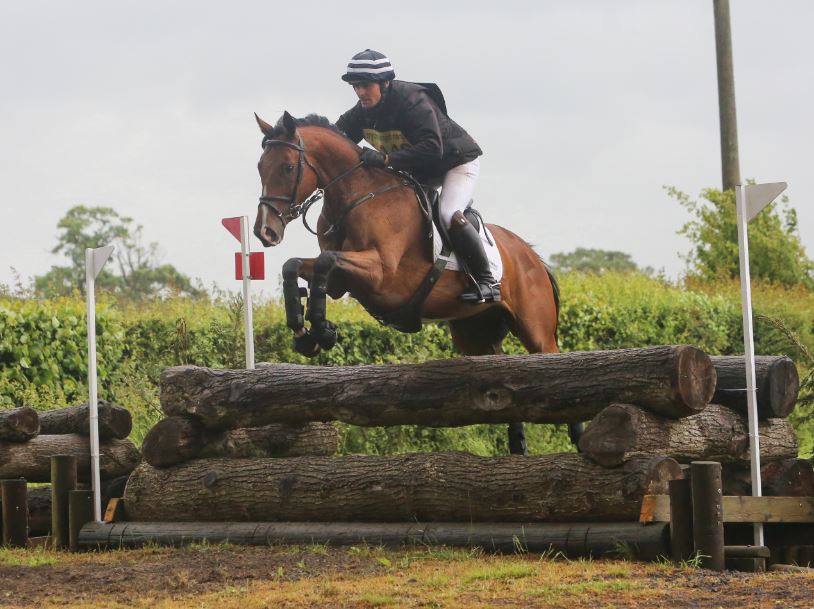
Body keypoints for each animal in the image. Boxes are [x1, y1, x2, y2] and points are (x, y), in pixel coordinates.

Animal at [253, 111, 578, 454]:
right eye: (260, 167)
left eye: (288, 167)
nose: (265, 231)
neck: (357, 197)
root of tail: (532, 256)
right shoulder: (342, 282)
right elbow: (296, 267)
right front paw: (308, 332)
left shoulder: (381, 275)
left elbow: (326, 263)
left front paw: (320, 328)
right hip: (475, 335)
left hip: (535, 329)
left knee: (554, 361)